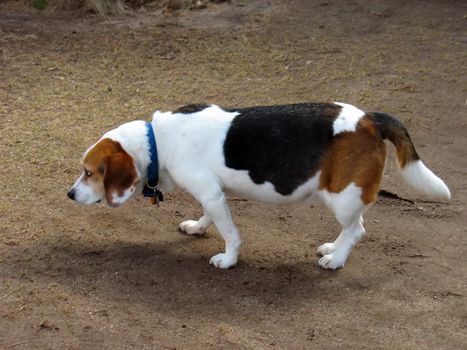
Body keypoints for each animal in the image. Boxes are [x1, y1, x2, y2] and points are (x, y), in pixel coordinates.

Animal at [67, 102, 452, 270]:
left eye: (89, 173)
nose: (70, 194)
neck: (159, 141)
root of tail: (371, 119)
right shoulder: (214, 196)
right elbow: (209, 217)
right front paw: (197, 227)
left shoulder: (211, 194)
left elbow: (230, 233)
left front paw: (228, 259)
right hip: (346, 196)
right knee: (353, 228)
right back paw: (332, 248)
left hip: (342, 196)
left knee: (357, 231)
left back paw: (336, 260)